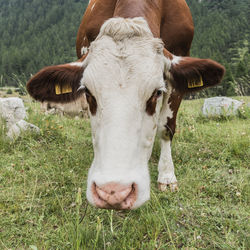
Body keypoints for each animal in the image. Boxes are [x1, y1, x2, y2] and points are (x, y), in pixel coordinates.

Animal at [26, 0, 225, 210]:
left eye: (157, 92)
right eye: (88, 92)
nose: (113, 192)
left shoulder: (177, 69)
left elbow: (166, 127)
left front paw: (167, 175)